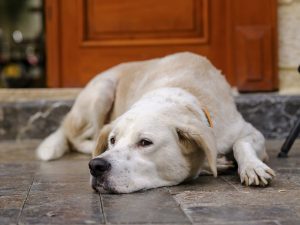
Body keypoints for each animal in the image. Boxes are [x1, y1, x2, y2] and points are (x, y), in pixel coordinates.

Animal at [36, 52, 276, 193]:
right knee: (79, 139)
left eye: (145, 142)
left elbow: (241, 144)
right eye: (113, 140)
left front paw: (253, 167)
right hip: (101, 90)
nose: (96, 166)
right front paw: (216, 163)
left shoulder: (245, 130)